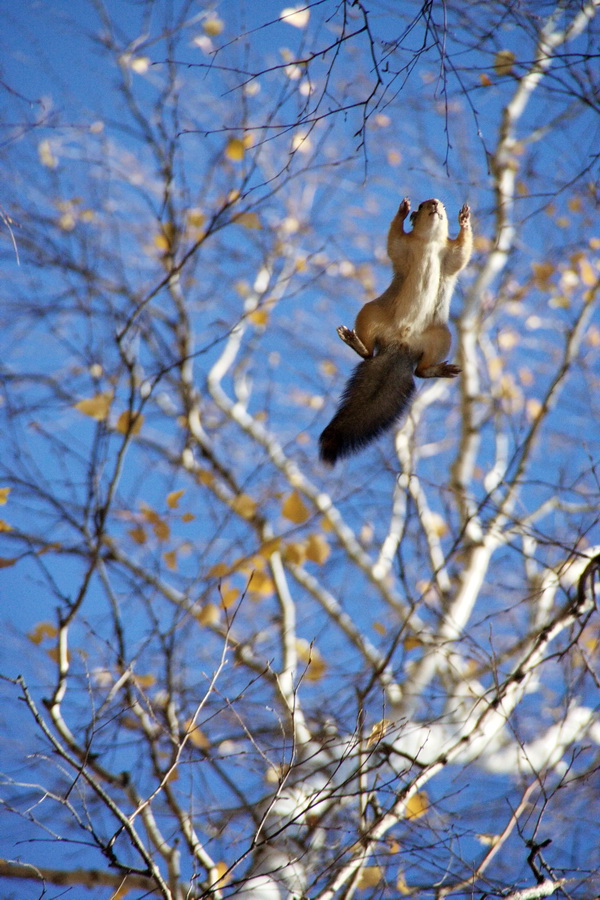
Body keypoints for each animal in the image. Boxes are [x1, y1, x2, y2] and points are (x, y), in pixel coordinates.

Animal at [319, 197, 472, 465]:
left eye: (443, 206)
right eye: (421, 206)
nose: (435, 203)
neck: (429, 241)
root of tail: (400, 346)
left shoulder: (451, 255)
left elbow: (463, 252)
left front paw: (464, 219)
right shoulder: (403, 247)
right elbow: (394, 241)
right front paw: (402, 210)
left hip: (442, 338)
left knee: (420, 371)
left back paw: (438, 369)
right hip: (370, 314)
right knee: (368, 354)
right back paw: (354, 340)